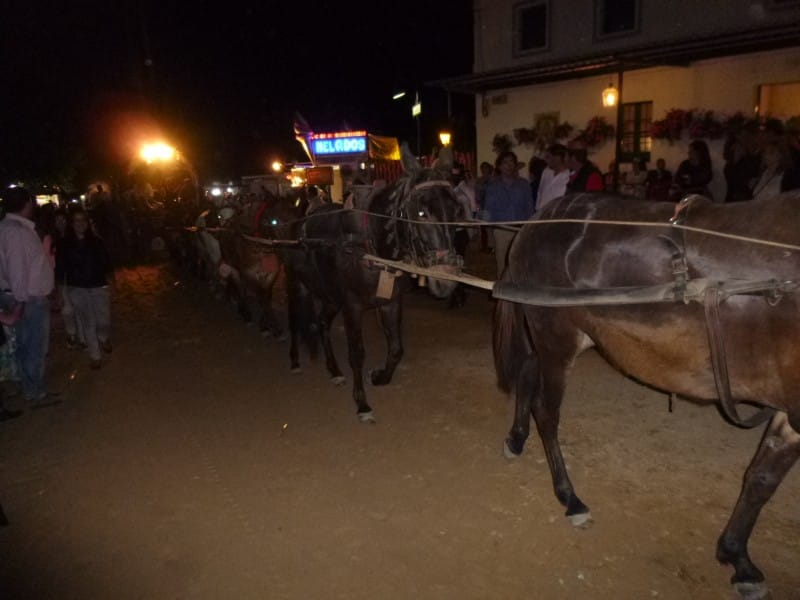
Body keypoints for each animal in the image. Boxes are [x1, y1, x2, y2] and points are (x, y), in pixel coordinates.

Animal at [268, 146, 462, 422]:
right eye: (421, 212)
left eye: (456, 211)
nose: (445, 279)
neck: (370, 245)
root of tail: (294, 226)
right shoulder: (352, 306)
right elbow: (357, 353)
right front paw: (362, 403)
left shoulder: (390, 302)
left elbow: (396, 348)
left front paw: (380, 376)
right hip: (297, 286)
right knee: (296, 322)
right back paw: (295, 361)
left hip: (330, 296)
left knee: (322, 323)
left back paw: (334, 370)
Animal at [494, 191, 800, 596]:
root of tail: (537, 219)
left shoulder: (789, 410)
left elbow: (762, 477)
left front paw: (737, 557)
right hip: (557, 334)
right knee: (547, 412)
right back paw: (570, 497)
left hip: (561, 336)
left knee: (528, 371)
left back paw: (516, 439)